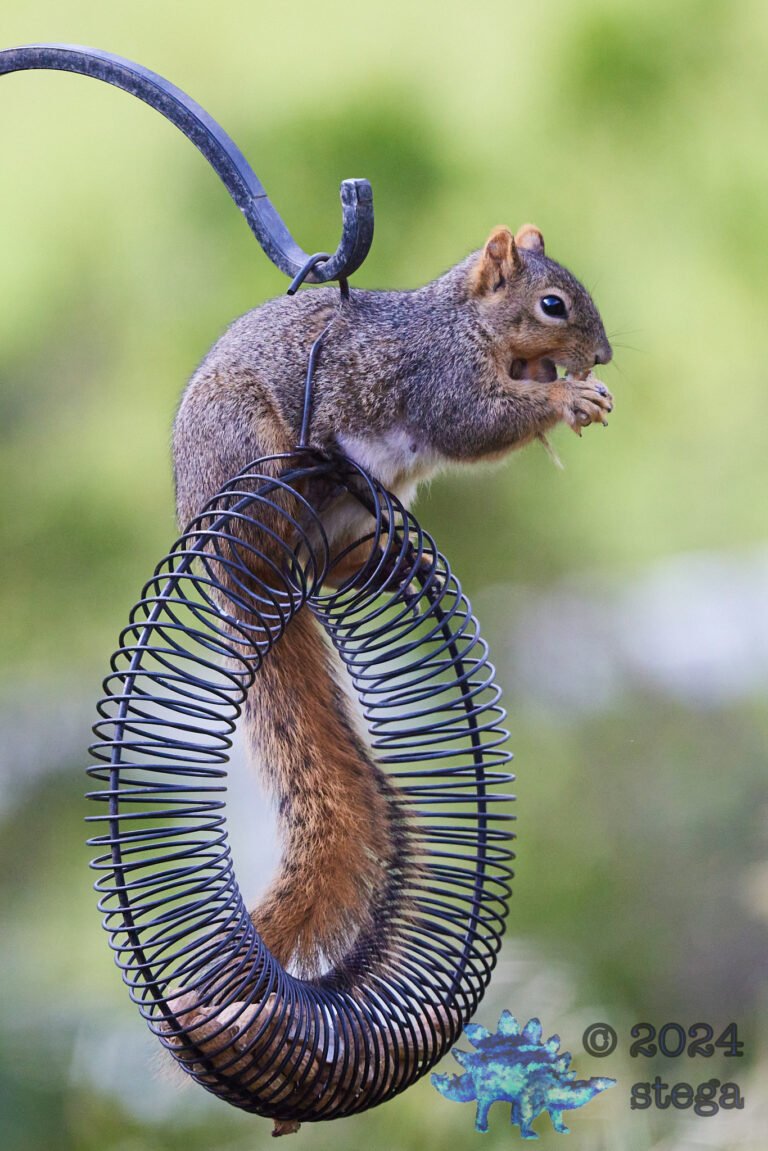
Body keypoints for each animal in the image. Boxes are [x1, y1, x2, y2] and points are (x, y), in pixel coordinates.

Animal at [172, 221, 612, 991]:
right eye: (553, 304)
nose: (605, 355)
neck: (463, 324)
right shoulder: (438, 379)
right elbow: (476, 422)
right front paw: (569, 399)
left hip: (364, 507)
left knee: (328, 566)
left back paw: (396, 563)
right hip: (247, 451)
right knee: (282, 530)